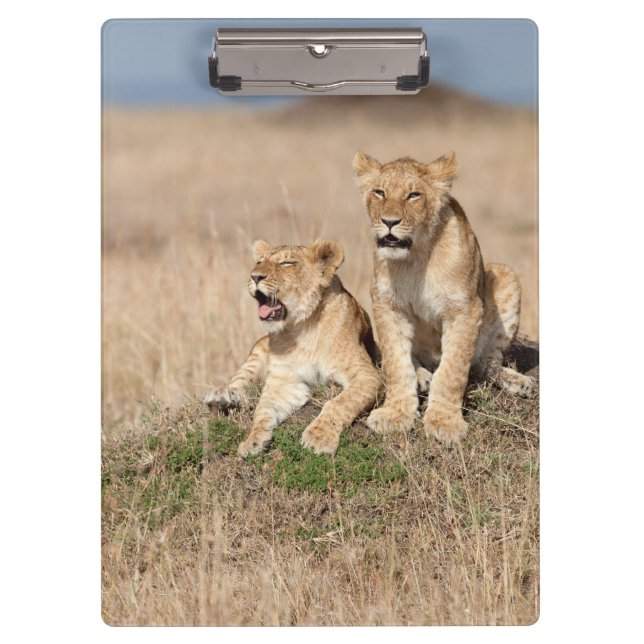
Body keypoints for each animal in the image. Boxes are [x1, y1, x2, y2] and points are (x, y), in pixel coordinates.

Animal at [204, 239, 382, 457]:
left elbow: (340, 402)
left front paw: (319, 437)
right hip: (257, 350)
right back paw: (220, 397)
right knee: (239, 381)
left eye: (286, 263)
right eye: (260, 262)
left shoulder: (367, 375)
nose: (255, 276)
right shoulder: (285, 380)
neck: (303, 327)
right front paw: (253, 440)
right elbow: (263, 410)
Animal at [353, 151, 533, 445]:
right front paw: (395, 414)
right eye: (379, 192)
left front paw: (444, 423)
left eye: (413, 195)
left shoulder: (465, 310)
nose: (389, 222)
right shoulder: (388, 306)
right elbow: (395, 363)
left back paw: (517, 382)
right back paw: (422, 375)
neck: (415, 257)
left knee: (484, 363)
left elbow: (453, 371)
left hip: (505, 275)